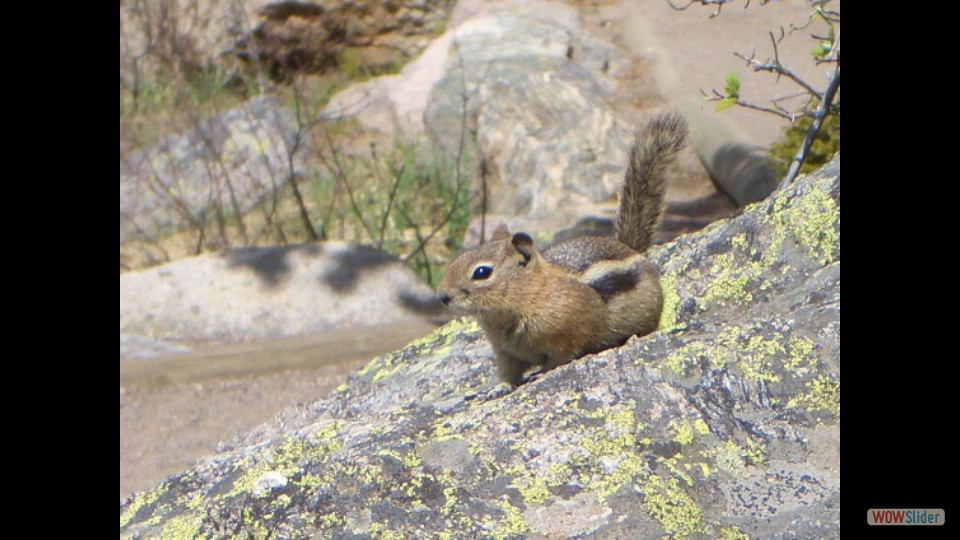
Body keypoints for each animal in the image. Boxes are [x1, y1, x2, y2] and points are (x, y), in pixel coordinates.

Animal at [438, 112, 688, 396]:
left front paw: (542, 371)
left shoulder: (568, 335)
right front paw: (497, 387)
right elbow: (508, 373)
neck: (531, 294)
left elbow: (561, 356)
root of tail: (631, 249)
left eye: (481, 272)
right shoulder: (506, 352)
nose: (443, 297)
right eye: (456, 261)